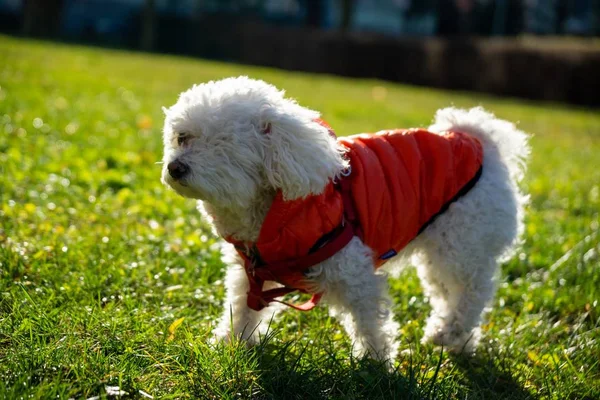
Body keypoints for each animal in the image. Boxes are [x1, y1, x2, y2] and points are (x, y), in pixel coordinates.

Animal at [161, 76, 528, 360]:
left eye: (224, 145)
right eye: (182, 137)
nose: (175, 167)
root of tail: (475, 139)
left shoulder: (354, 271)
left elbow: (369, 320)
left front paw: (377, 361)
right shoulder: (253, 273)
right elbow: (243, 307)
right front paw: (231, 344)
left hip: (464, 241)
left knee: (473, 291)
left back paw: (449, 332)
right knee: (449, 293)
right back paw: (456, 340)